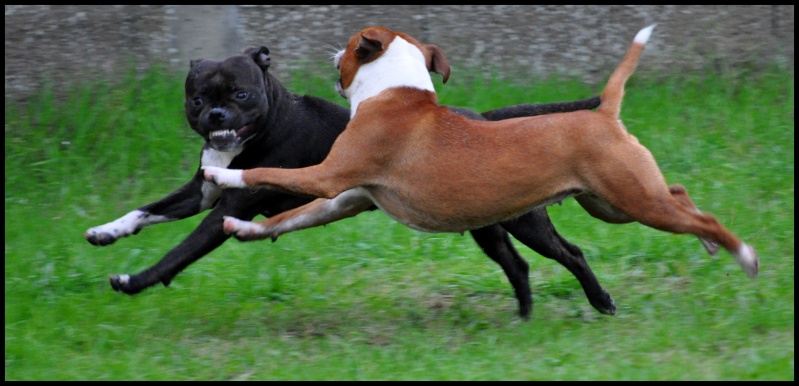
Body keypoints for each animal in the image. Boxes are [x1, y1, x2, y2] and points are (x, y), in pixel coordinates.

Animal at [86, 46, 612, 318]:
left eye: (240, 94)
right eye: (197, 99)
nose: (216, 114)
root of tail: (481, 121)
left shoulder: (226, 211)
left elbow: (178, 253)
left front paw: (134, 281)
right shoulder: (200, 193)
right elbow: (143, 212)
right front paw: (107, 231)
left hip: (525, 222)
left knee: (570, 254)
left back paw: (600, 302)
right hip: (487, 225)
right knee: (517, 265)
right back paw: (523, 314)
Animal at [203, 24, 760, 284]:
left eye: (349, 45)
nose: (333, 55)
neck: (396, 94)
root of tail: (603, 112)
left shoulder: (328, 177)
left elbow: (267, 171)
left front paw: (222, 175)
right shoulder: (346, 198)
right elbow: (290, 218)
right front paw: (244, 227)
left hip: (632, 201)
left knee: (705, 220)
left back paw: (742, 255)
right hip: (614, 204)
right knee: (683, 196)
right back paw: (708, 240)